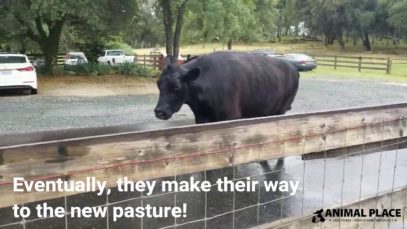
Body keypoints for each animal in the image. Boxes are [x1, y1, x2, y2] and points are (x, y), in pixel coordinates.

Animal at [155, 52, 302, 123]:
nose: (159, 112)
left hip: (281, 110)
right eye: (158, 84)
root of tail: (292, 67)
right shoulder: (201, 118)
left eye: (177, 87)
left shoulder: (231, 116)